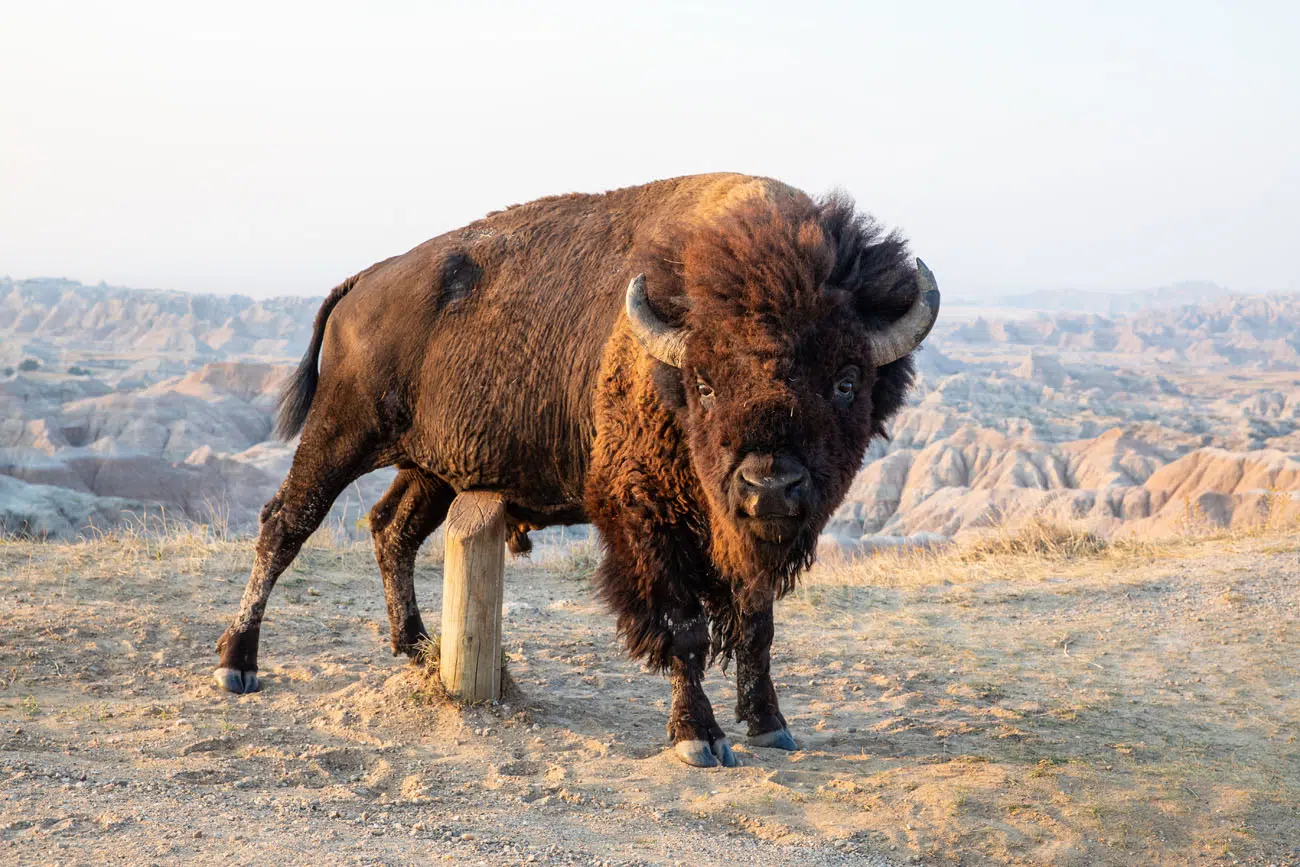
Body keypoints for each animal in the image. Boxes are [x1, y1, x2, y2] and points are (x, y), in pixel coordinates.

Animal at [214, 173, 939, 768]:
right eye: (704, 384)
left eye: (846, 381)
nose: (770, 485)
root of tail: (362, 281)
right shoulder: (648, 520)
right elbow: (684, 628)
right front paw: (697, 739)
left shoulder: (743, 543)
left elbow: (756, 626)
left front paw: (770, 725)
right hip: (341, 433)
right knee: (287, 521)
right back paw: (237, 663)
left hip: (433, 467)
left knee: (391, 528)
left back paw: (416, 647)